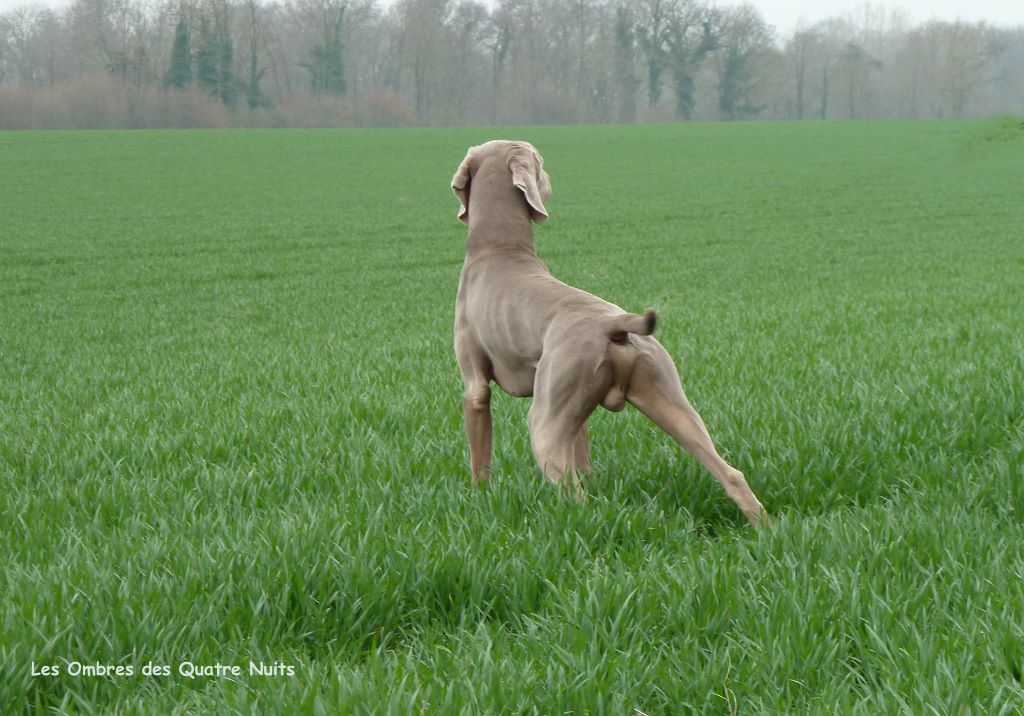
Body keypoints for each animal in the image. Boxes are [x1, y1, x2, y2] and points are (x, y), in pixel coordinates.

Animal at [452, 140, 765, 524]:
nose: (551, 176)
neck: (499, 250)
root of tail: (614, 324)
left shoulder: (475, 388)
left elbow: (479, 461)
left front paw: (478, 501)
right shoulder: (577, 415)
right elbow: (583, 454)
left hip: (544, 423)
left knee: (573, 491)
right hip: (668, 401)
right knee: (730, 473)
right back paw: (765, 529)